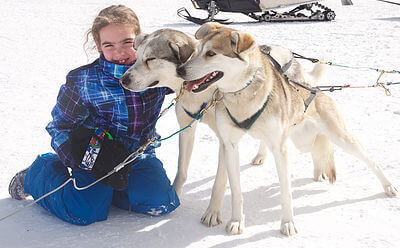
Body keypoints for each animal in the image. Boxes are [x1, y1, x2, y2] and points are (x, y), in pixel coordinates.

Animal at [177, 23, 396, 236]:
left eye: (211, 53)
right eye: (195, 51)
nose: (180, 70)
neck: (243, 96)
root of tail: (317, 90)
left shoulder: (280, 150)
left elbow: (286, 192)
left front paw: (288, 224)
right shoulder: (229, 145)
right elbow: (236, 191)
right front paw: (237, 222)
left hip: (340, 137)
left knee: (368, 159)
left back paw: (388, 186)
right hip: (302, 140)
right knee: (317, 149)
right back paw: (318, 171)